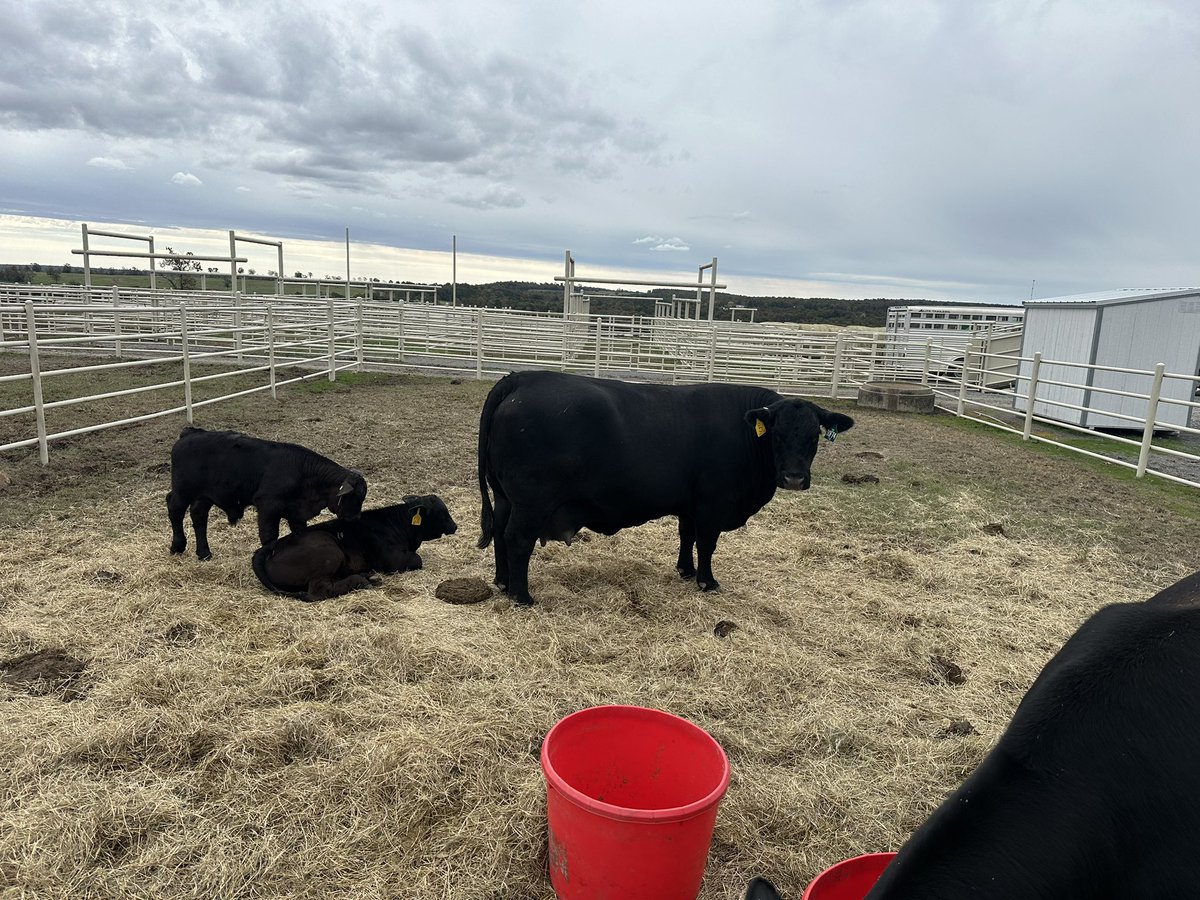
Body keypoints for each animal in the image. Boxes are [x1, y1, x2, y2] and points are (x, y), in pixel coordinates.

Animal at [167, 426, 367, 560]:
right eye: (353, 497)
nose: (355, 519)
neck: (303, 472)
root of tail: (192, 432)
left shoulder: (296, 513)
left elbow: (300, 533)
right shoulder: (268, 506)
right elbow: (269, 536)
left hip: (205, 495)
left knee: (199, 515)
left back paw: (204, 553)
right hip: (183, 491)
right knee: (174, 508)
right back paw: (177, 546)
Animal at [251, 495, 458, 601]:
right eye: (442, 513)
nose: (455, 526)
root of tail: (269, 548)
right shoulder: (391, 560)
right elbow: (417, 559)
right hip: (328, 550)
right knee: (320, 591)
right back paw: (362, 580)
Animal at [477, 371, 854, 606]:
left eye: (814, 435)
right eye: (776, 434)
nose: (794, 478)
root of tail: (522, 379)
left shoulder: (689, 503)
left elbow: (686, 536)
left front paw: (686, 571)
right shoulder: (713, 503)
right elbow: (706, 542)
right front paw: (707, 581)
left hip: (505, 496)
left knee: (499, 532)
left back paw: (503, 582)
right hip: (532, 502)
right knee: (517, 539)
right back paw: (522, 596)